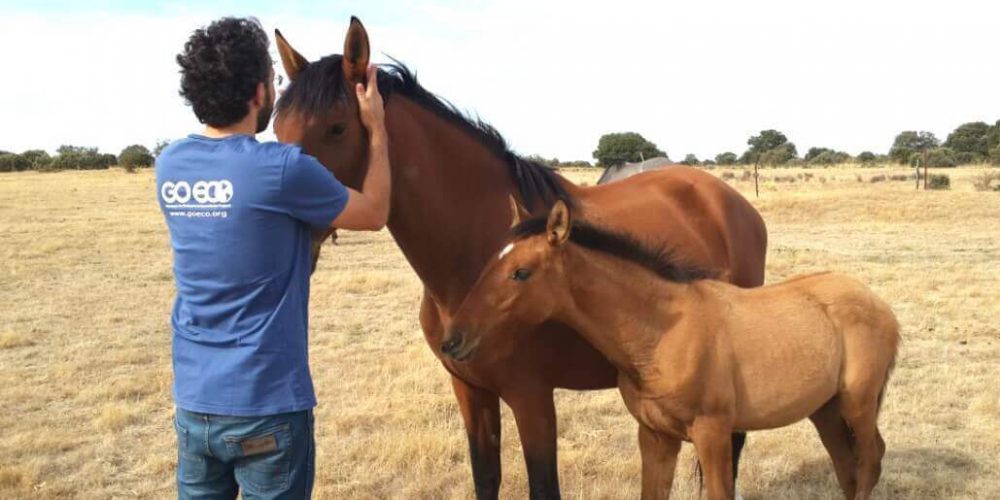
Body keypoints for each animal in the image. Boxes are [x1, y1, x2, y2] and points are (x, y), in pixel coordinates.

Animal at [274, 16, 764, 500]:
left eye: (337, 127)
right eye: (276, 129)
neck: (470, 261)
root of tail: (728, 200)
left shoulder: (531, 397)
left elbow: (543, 486)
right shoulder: (471, 391)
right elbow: (485, 477)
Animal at [444, 200, 900, 500]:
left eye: (521, 273)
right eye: (488, 264)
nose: (453, 340)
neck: (662, 334)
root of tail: (881, 306)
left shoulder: (712, 432)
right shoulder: (655, 436)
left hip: (858, 403)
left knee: (871, 459)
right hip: (825, 409)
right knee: (848, 467)